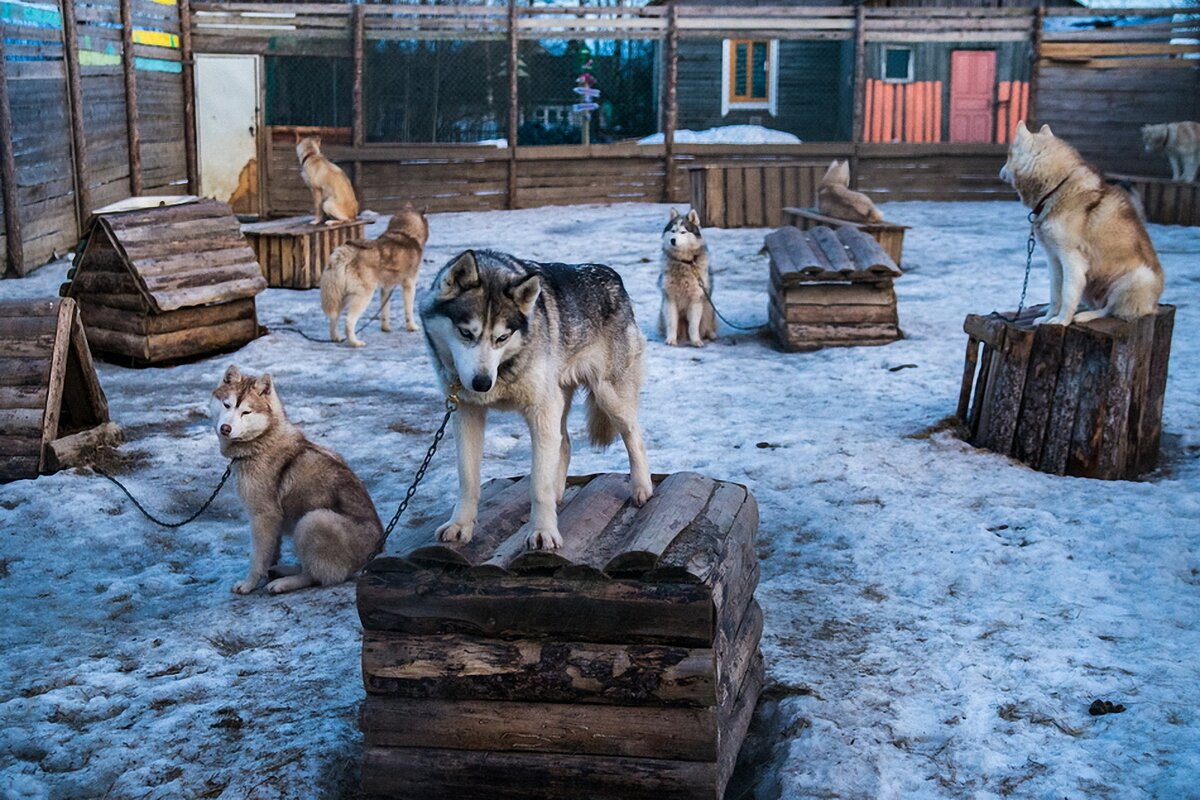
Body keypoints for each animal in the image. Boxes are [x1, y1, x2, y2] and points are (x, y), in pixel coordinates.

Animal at [212, 367, 384, 592]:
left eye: (246, 412)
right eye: (227, 405)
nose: (225, 428)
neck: (262, 442)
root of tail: (374, 555)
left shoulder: (263, 516)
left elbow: (257, 558)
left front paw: (249, 585)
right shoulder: (272, 524)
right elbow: (270, 554)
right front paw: (266, 572)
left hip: (312, 520)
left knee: (316, 576)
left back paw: (284, 582)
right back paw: (283, 570)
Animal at [319, 205, 432, 345]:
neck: (405, 233)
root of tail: (347, 252)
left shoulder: (386, 288)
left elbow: (385, 312)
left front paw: (386, 328)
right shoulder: (409, 284)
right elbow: (409, 310)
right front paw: (412, 327)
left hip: (341, 297)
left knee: (333, 318)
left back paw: (336, 338)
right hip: (363, 296)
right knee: (349, 321)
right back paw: (355, 343)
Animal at [417, 250, 652, 551]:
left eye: (502, 337)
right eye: (466, 333)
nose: (482, 384)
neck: (504, 370)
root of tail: (611, 273)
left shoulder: (541, 411)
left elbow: (538, 485)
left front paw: (543, 531)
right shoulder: (467, 413)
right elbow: (468, 479)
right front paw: (460, 525)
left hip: (609, 397)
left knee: (634, 437)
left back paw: (642, 488)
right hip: (560, 402)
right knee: (565, 443)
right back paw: (559, 492)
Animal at [662, 206, 715, 347]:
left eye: (683, 232)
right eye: (673, 231)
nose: (672, 240)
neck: (684, 262)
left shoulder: (696, 299)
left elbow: (694, 325)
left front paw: (696, 341)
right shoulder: (670, 299)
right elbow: (672, 323)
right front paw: (671, 339)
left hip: (707, 308)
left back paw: (711, 335)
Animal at [1003, 119, 1161, 326]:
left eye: (1007, 156)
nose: (1000, 171)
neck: (1055, 189)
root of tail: (1154, 304)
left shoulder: (1072, 260)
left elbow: (1067, 294)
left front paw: (1061, 321)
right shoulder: (1054, 259)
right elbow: (1056, 293)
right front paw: (1047, 317)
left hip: (1138, 278)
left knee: (1109, 309)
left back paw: (1086, 316)